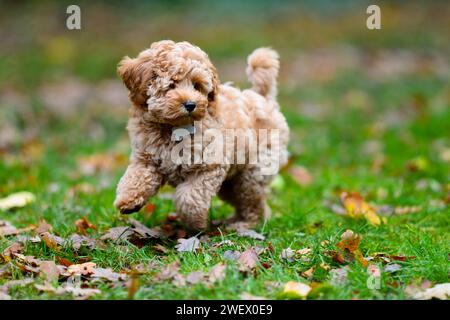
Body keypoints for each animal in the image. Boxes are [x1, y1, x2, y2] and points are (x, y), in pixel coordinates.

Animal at [112, 40, 288, 230]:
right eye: (171, 85)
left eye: (196, 85)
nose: (190, 104)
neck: (172, 128)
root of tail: (262, 98)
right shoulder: (146, 159)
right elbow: (136, 177)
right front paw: (128, 201)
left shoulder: (209, 166)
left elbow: (189, 198)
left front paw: (195, 223)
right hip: (230, 183)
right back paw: (233, 220)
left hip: (253, 171)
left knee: (255, 201)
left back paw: (247, 223)